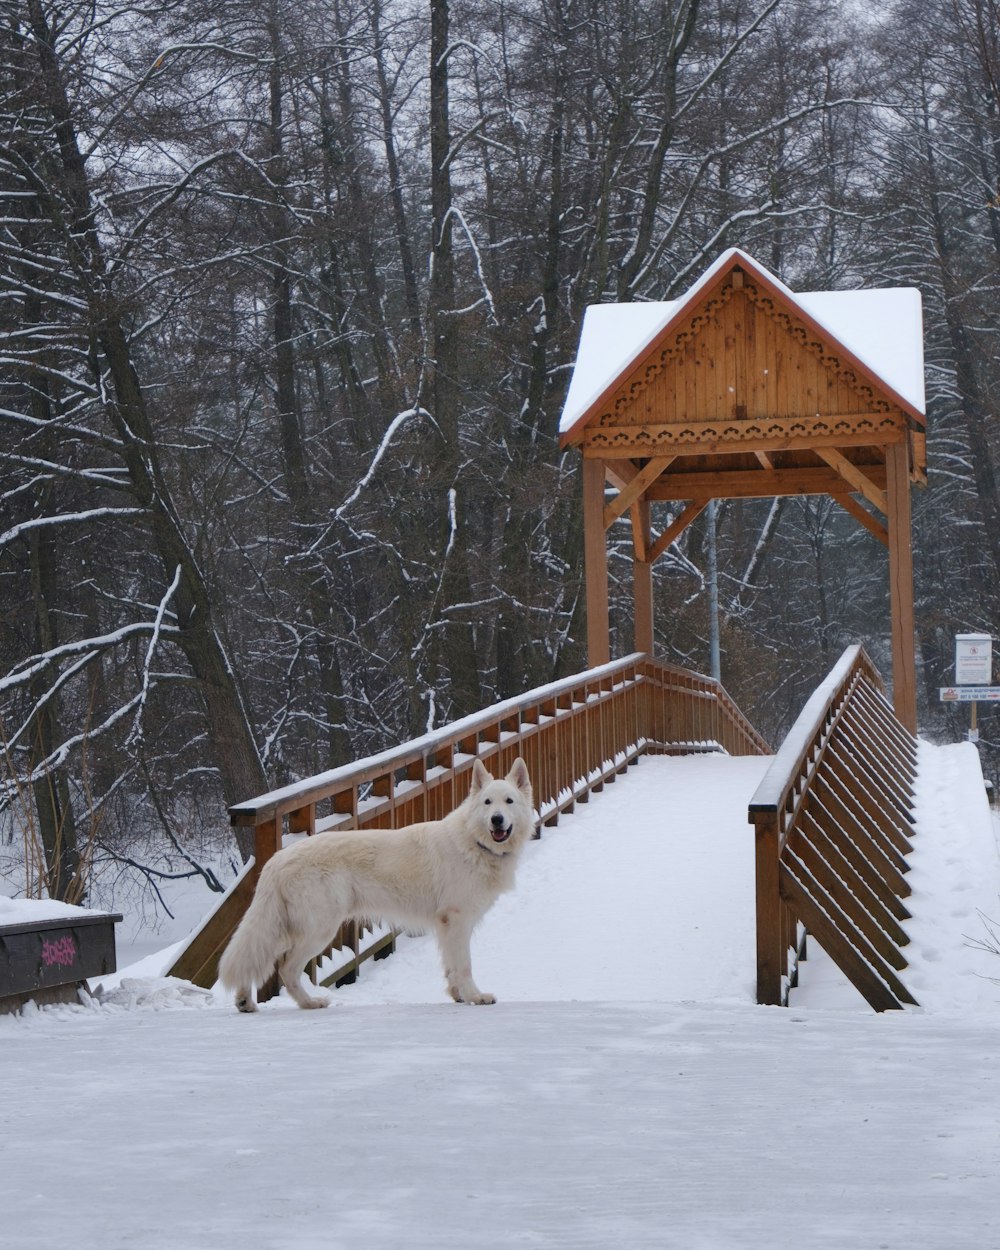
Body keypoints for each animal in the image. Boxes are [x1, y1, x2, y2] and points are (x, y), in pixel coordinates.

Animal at [216, 755, 535, 1010]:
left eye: (509, 802)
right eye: (487, 803)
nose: (496, 820)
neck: (473, 842)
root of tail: (277, 859)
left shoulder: (449, 926)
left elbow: (451, 967)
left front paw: (457, 995)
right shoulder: (456, 920)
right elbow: (464, 965)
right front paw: (474, 997)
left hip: (286, 925)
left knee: (258, 957)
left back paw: (245, 1001)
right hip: (319, 929)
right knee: (285, 968)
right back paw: (310, 1003)